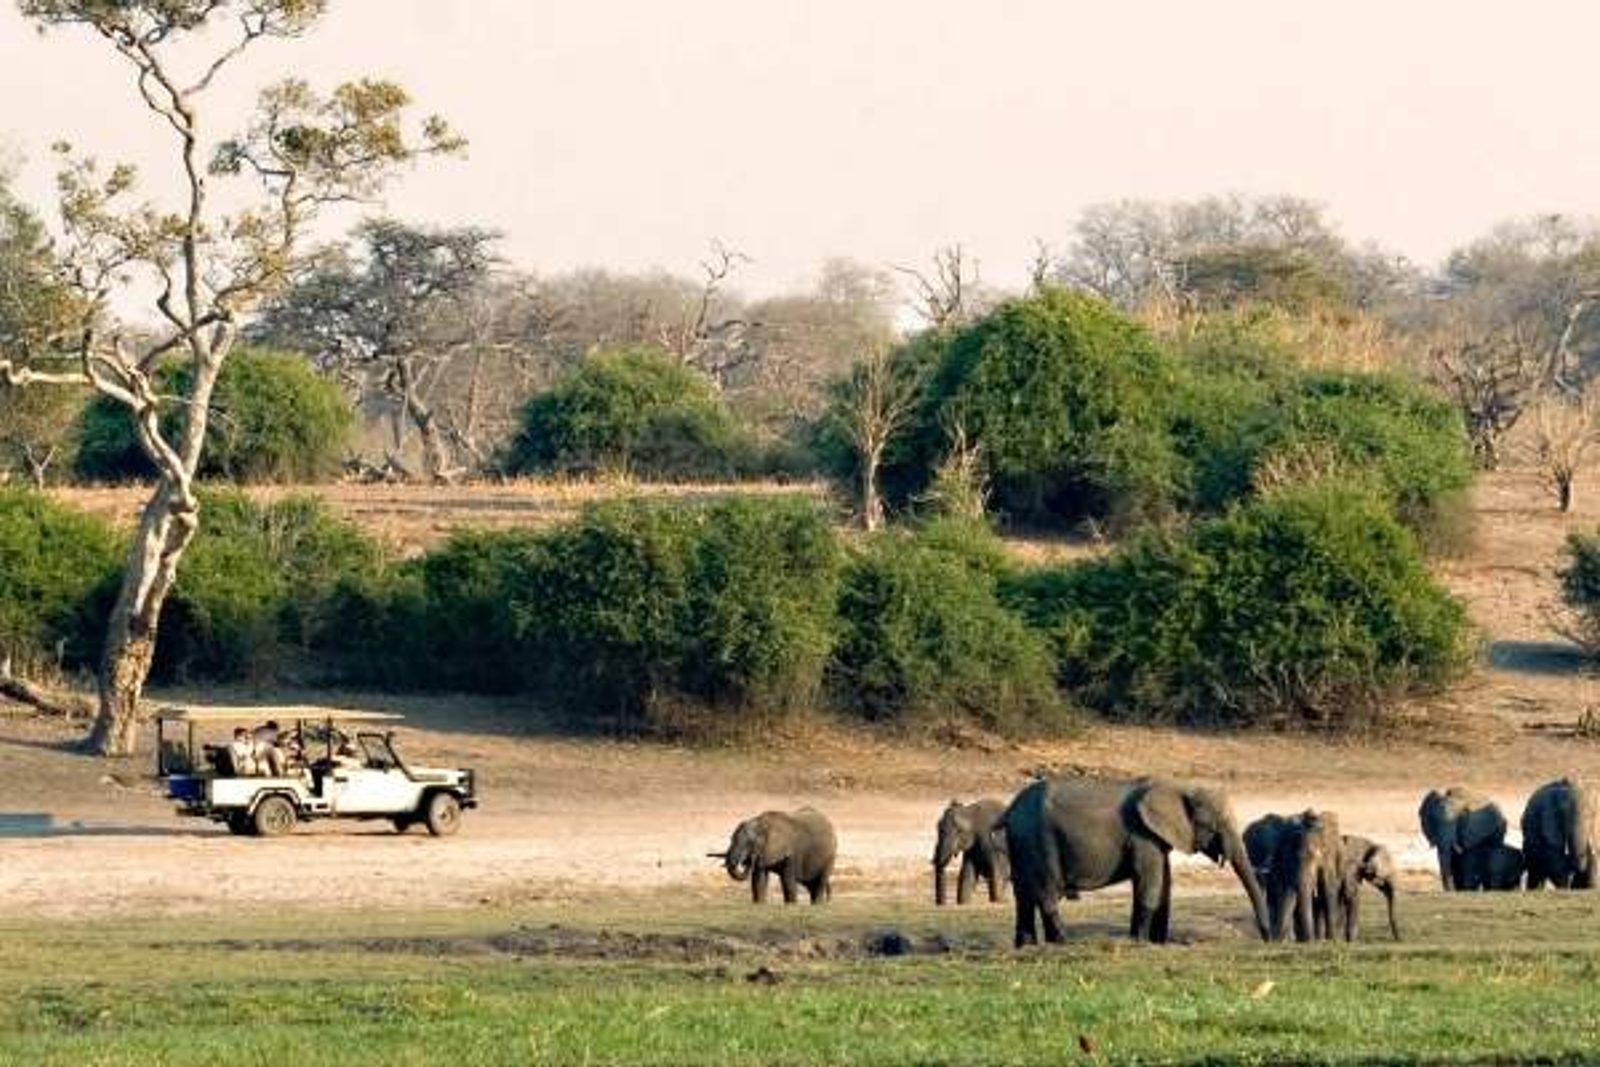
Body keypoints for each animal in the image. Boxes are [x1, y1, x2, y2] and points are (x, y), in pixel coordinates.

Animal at [1001, 776, 1270, 946]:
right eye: (1214, 826)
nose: (1267, 938)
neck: (1179, 786)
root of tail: (1009, 810)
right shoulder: (1142, 835)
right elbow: (1149, 882)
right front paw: (1140, 941)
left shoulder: (1157, 838)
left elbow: (1164, 885)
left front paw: (1153, 942)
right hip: (1038, 838)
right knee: (1045, 891)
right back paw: (1063, 943)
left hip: (1021, 842)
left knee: (1023, 896)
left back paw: (1027, 946)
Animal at [1243, 810, 1345, 942]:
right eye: (1295, 858)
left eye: (1316, 859)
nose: (1310, 941)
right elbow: (1288, 891)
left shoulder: (1329, 857)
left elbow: (1328, 889)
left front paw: (1330, 940)